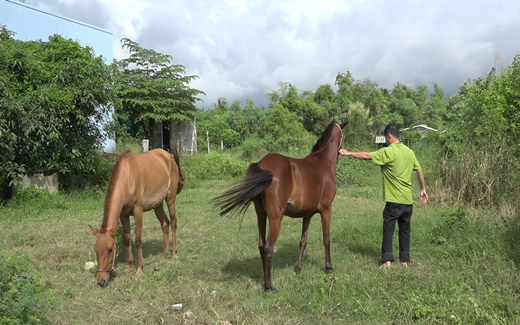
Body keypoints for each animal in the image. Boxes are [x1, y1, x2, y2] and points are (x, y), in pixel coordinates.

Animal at [89, 148, 185, 284]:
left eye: (110, 249)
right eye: (96, 249)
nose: (101, 280)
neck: (128, 178)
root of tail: (168, 156)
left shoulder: (138, 211)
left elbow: (138, 240)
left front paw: (140, 269)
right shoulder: (123, 215)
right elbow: (127, 238)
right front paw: (128, 265)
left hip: (170, 199)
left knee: (173, 223)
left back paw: (173, 254)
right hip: (158, 205)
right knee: (165, 224)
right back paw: (164, 254)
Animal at [213, 119, 348, 292]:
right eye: (343, 135)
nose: (341, 152)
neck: (322, 162)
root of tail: (261, 164)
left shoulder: (307, 214)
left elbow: (303, 241)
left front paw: (298, 267)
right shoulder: (326, 210)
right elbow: (327, 239)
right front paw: (329, 267)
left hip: (261, 215)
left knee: (261, 246)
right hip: (276, 218)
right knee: (268, 248)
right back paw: (269, 286)